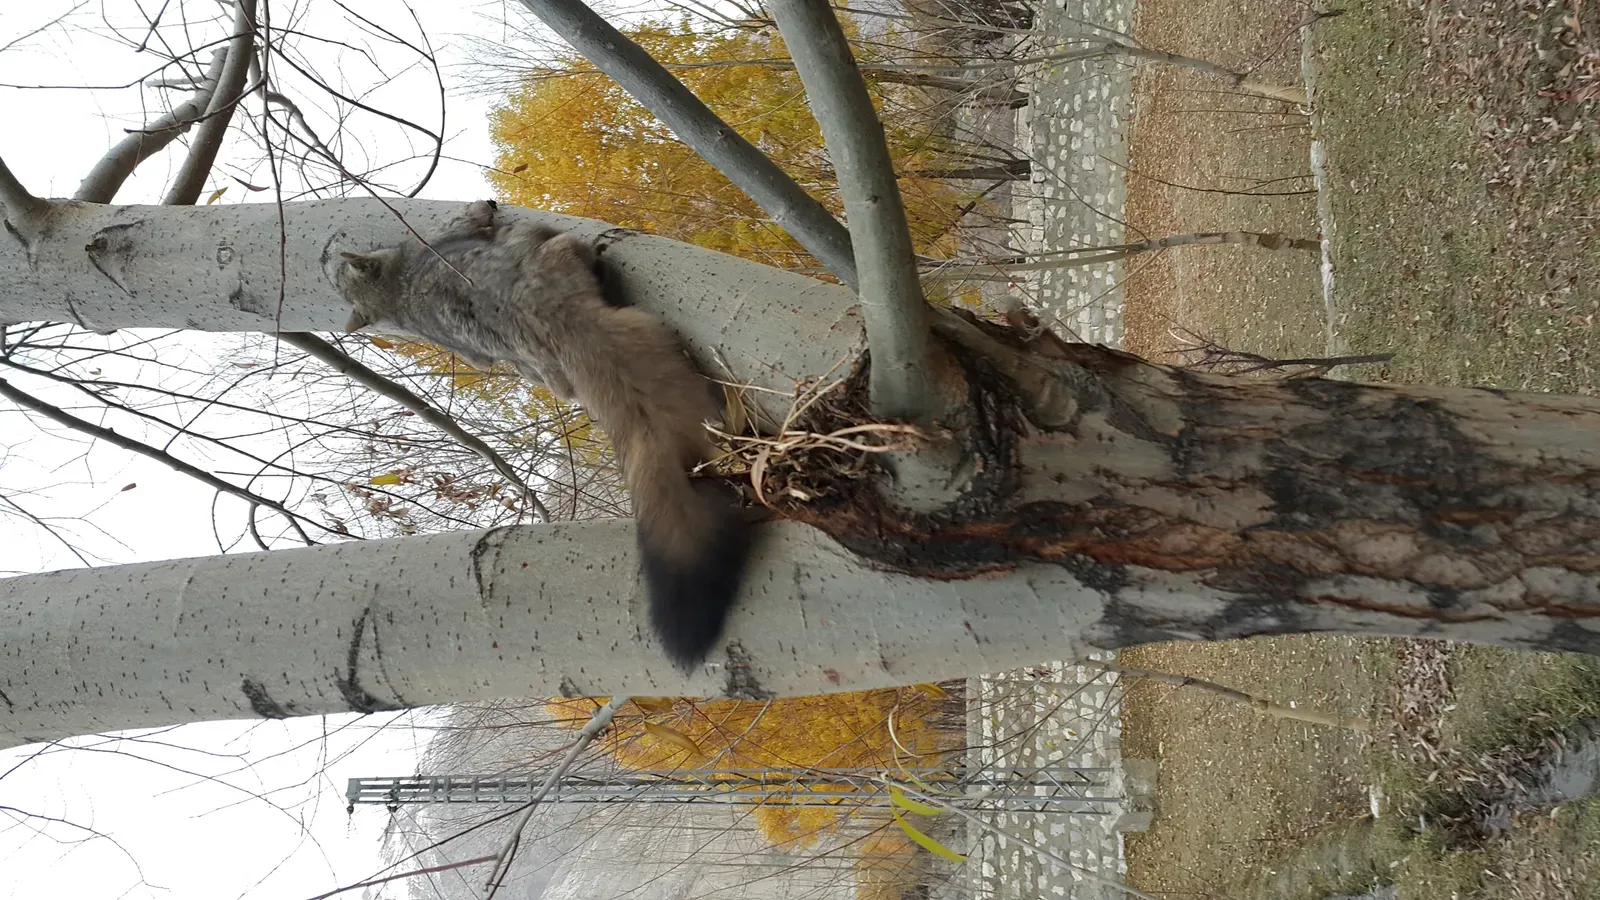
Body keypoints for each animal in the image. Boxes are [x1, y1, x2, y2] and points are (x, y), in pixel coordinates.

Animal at [335, 200, 752, 669]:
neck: (396, 291)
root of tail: (554, 324)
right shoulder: (447, 235)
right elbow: (468, 219)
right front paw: (482, 207)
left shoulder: (467, 345)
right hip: (553, 252)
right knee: (576, 252)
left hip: (541, 369)